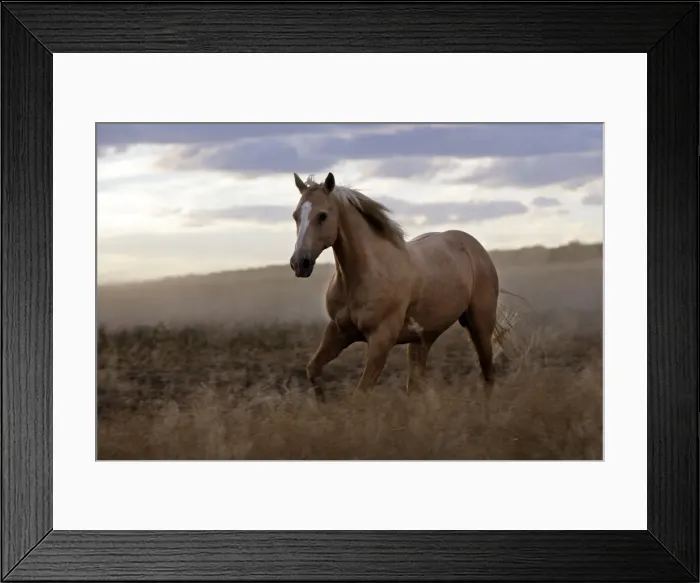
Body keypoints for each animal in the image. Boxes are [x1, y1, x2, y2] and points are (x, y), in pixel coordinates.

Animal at [288, 171, 503, 403]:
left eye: (322, 216)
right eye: (295, 216)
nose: (299, 263)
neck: (361, 276)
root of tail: (474, 246)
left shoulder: (381, 339)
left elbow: (361, 393)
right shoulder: (338, 331)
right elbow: (312, 370)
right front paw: (323, 404)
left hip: (480, 325)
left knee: (488, 374)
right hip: (422, 340)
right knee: (416, 385)